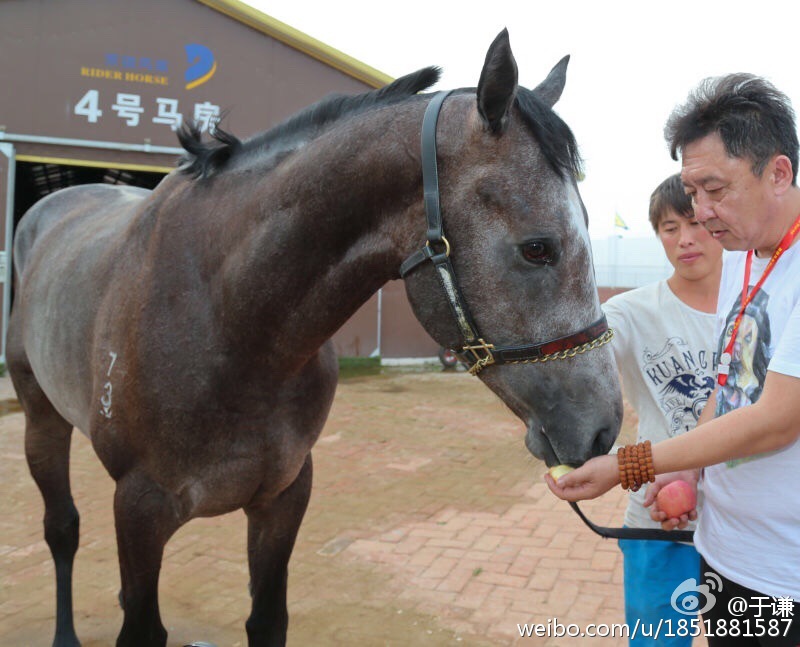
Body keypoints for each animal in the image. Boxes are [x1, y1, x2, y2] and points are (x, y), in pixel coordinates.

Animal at [7, 29, 624, 647]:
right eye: (537, 248)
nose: (604, 429)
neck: (228, 322)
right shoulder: (138, 508)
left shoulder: (283, 496)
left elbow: (267, 618)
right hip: (42, 418)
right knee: (61, 528)